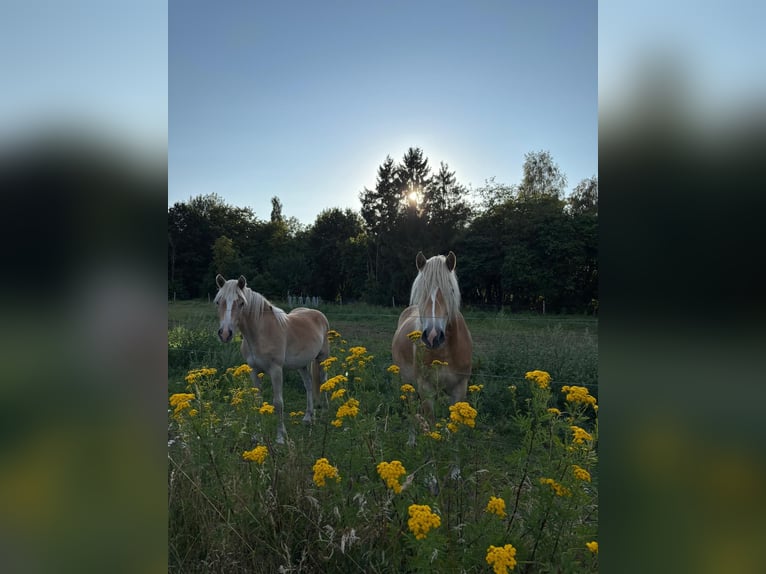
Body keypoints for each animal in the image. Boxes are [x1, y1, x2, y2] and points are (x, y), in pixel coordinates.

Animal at [214, 274, 330, 444]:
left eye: (241, 303)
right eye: (218, 302)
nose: (225, 334)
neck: (260, 333)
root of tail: (318, 314)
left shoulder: (276, 370)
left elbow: (278, 402)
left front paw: (281, 437)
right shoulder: (253, 370)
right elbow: (257, 400)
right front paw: (257, 435)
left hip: (322, 358)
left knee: (323, 382)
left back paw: (324, 415)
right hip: (301, 365)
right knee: (308, 384)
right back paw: (308, 418)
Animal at [391, 251, 473, 424]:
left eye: (451, 290)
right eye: (421, 291)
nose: (432, 336)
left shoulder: (459, 388)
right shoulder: (425, 388)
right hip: (407, 382)